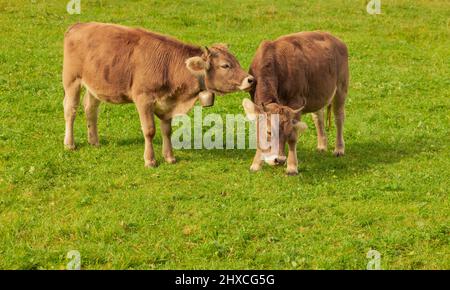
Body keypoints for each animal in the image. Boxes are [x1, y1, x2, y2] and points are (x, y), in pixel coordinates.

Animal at [62, 22, 253, 168]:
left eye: (236, 61)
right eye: (225, 65)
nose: (251, 79)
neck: (169, 66)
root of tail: (79, 25)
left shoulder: (168, 103)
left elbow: (167, 130)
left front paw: (170, 157)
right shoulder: (143, 98)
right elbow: (149, 130)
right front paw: (150, 160)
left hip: (95, 85)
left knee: (90, 109)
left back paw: (94, 141)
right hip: (71, 80)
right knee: (70, 110)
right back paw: (69, 143)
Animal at [241, 32, 350, 176]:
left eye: (287, 132)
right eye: (269, 132)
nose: (279, 160)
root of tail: (334, 38)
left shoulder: (296, 104)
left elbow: (293, 138)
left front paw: (292, 167)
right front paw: (256, 164)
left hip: (341, 87)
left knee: (339, 118)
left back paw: (339, 149)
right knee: (318, 116)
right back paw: (322, 146)